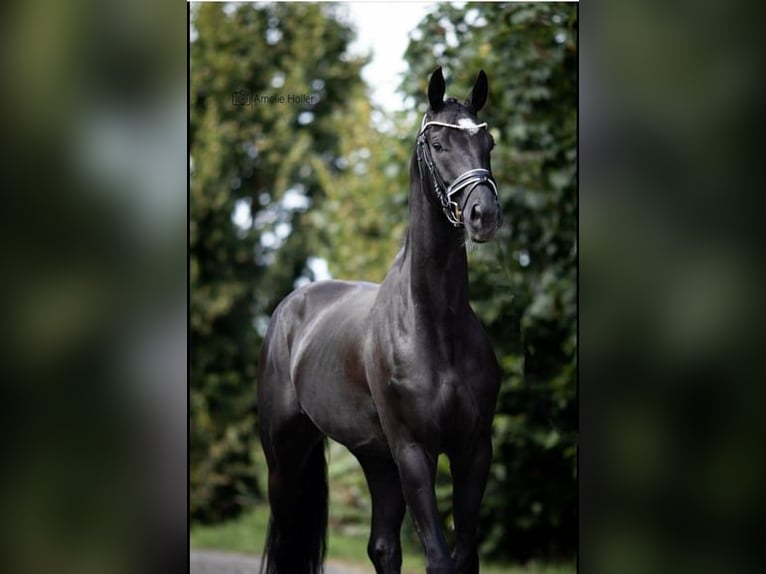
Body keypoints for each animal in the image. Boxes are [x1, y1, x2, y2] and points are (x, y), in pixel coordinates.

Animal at [260, 68, 508, 574]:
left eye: (488, 142)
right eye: (438, 144)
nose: (484, 215)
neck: (434, 328)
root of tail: (291, 305)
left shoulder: (474, 450)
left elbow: (465, 556)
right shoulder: (414, 451)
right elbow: (439, 559)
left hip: (377, 461)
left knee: (383, 547)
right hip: (285, 458)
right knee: (287, 537)